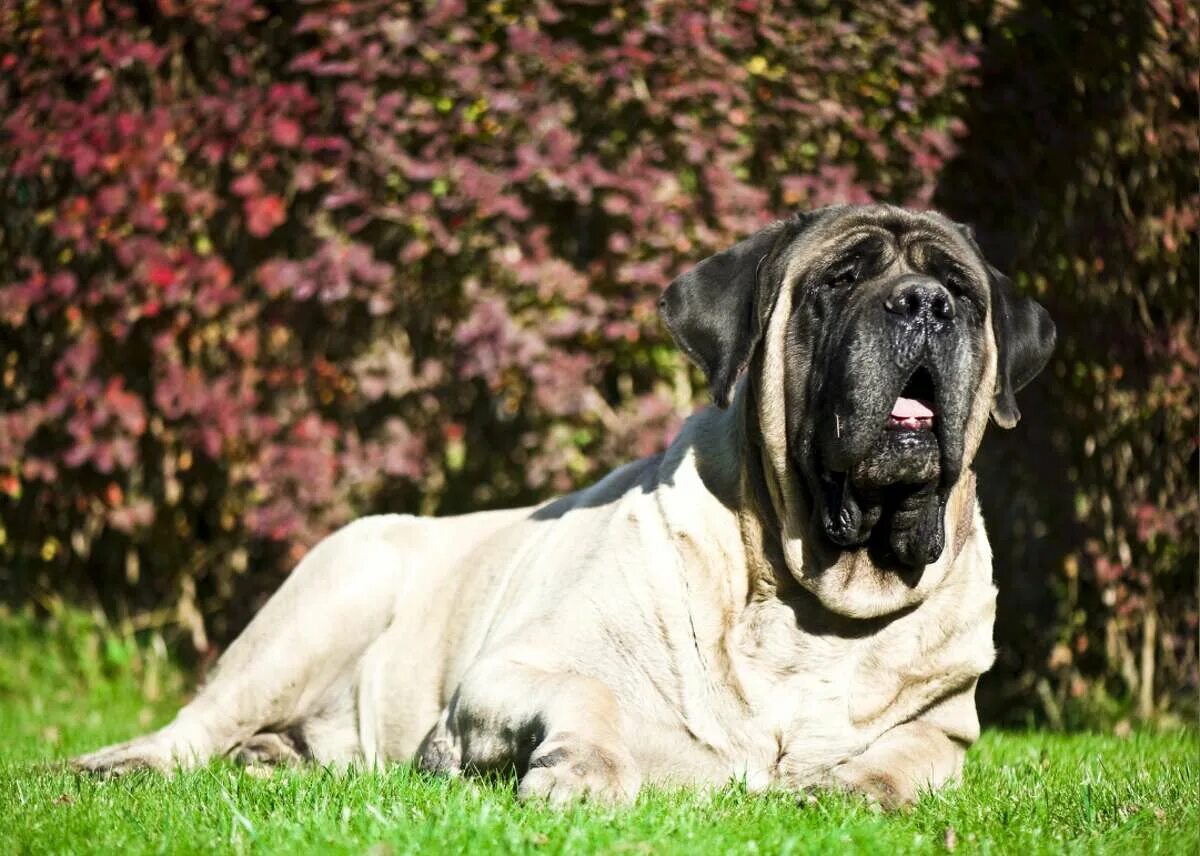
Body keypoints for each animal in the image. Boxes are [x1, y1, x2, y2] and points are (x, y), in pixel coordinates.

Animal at [72, 204, 1051, 806]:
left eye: (962, 293)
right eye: (839, 281)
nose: (922, 303)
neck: (810, 596)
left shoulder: (948, 728)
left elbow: (911, 756)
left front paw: (857, 789)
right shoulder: (511, 670)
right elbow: (590, 696)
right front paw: (579, 772)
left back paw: (274, 759)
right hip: (328, 596)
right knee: (198, 723)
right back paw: (122, 763)